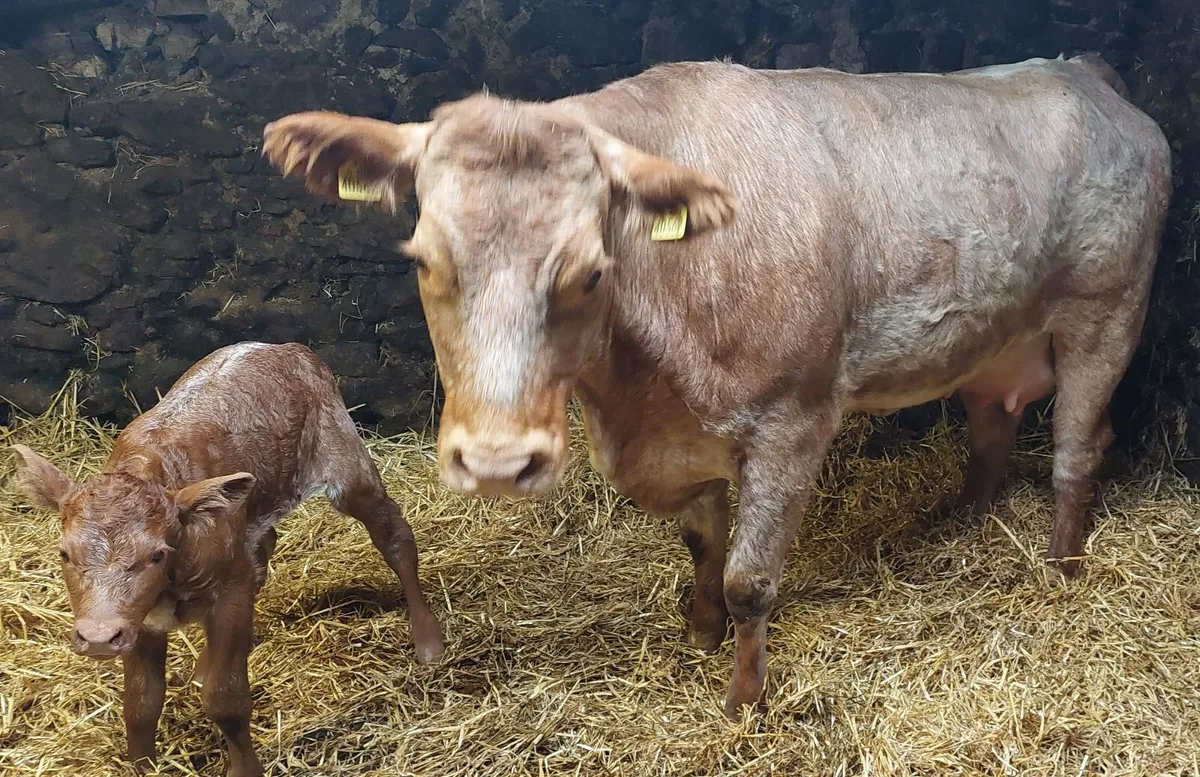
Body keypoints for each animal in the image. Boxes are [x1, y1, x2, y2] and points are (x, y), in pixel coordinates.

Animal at [10, 342, 445, 776]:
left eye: (156, 555)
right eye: (64, 553)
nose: (98, 637)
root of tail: (287, 348)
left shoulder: (230, 590)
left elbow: (226, 698)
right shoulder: (135, 620)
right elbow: (140, 703)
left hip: (345, 462)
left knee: (395, 537)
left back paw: (428, 640)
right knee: (265, 547)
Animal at [259, 53, 1171, 718]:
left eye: (590, 271)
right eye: (423, 260)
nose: (495, 465)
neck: (635, 390)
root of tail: (1088, 73)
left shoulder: (794, 420)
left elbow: (749, 577)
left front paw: (741, 701)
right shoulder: (670, 436)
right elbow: (702, 538)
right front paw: (697, 630)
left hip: (1106, 314)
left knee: (1077, 448)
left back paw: (1059, 566)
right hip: (991, 338)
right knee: (989, 429)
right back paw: (965, 525)